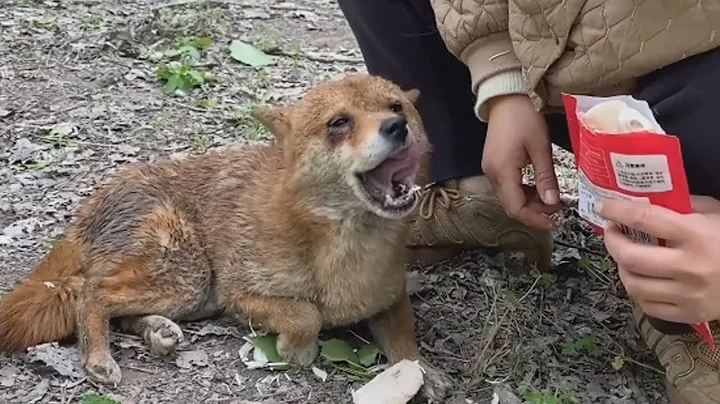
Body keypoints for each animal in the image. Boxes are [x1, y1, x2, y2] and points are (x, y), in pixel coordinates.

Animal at [0, 75, 450, 400]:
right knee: (93, 294)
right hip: (190, 275)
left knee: (116, 305)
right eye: (340, 122)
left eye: (396, 107)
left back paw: (155, 330)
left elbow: (406, 347)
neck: (344, 247)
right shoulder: (241, 296)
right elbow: (307, 314)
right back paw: (98, 355)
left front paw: (424, 373)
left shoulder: (390, 300)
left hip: (189, 293)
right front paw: (297, 350)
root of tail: (95, 200)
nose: (398, 127)